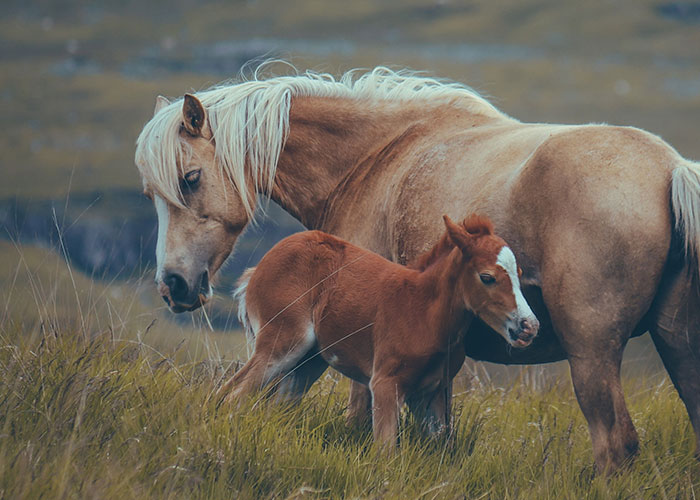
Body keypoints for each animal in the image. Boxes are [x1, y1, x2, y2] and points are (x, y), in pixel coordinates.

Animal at [218, 214, 539, 445]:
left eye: (519, 274)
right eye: (487, 277)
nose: (529, 326)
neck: (424, 312)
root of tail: (256, 270)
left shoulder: (433, 394)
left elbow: (440, 448)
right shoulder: (385, 383)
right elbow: (386, 451)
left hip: (309, 361)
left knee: (270, 407)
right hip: (284, 342)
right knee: (233, 394)